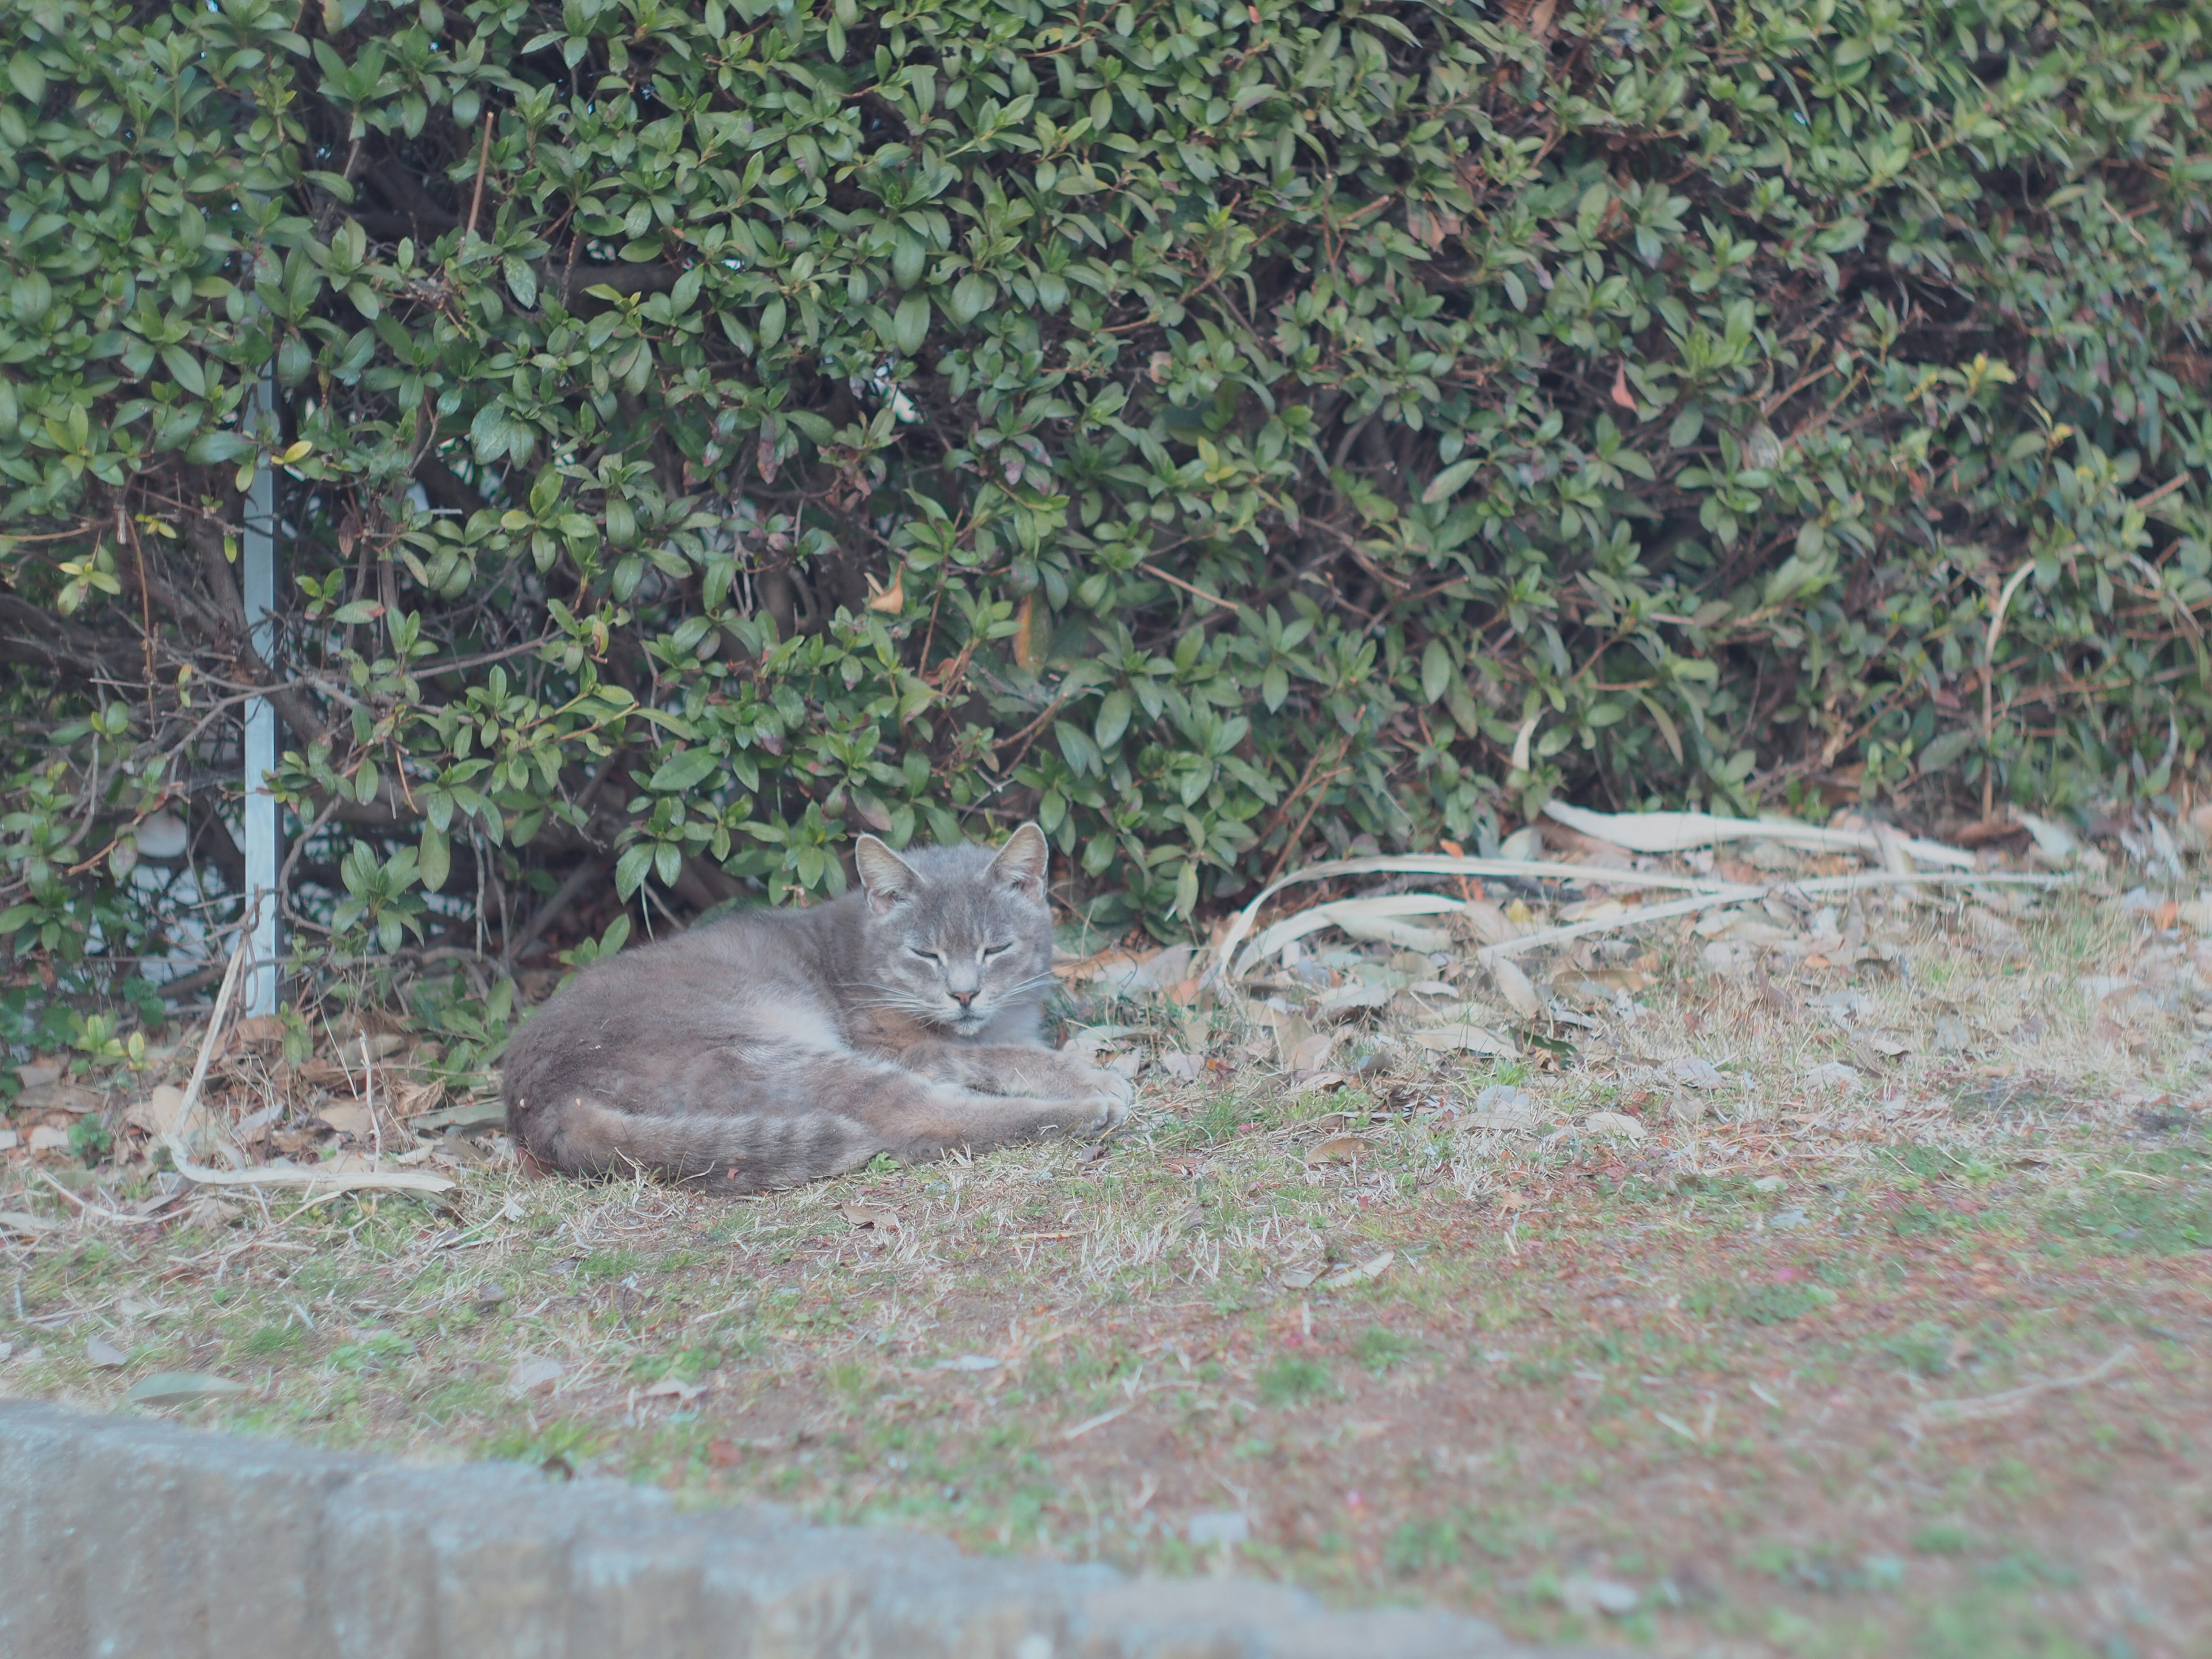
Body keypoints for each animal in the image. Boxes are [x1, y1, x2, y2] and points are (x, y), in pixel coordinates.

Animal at [499, 823, 1123, 1194]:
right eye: (925, 953)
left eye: (996, 949)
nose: (965, 994)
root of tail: (540, 1105)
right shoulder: (898, 1045)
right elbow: (1007, 1055)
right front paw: (1087, 1074)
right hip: (776, 1057)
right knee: (919, 1119)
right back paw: (1084, 1109)